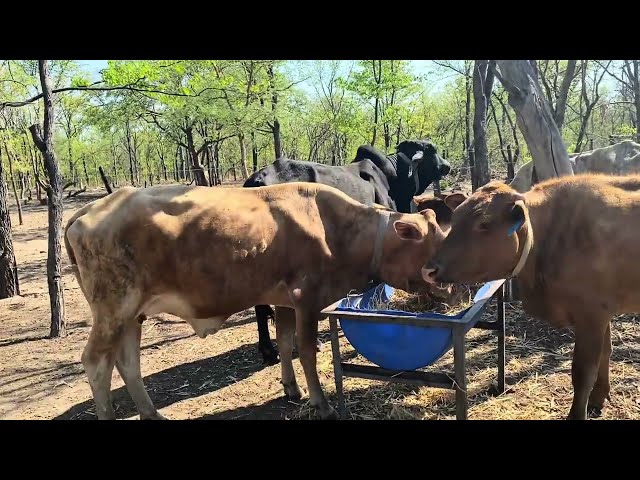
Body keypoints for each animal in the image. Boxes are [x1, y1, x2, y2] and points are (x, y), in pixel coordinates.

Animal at [63, 180, 444, 420]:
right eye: (432, 249)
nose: (449, 284)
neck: (337, 230)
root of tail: (93, 207)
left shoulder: (284, 300)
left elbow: (285, 341)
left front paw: (291, 388)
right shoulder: (307, 298)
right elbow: (306, 351)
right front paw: (321, 403)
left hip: (132, 313)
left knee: (128, 362)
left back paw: (152, 413)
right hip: (114, 308)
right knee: (97, 363)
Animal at [422, 174, 640, 418]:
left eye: (484, 224)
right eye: (456, 217)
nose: (428, 270)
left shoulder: (592, 315)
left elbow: (583, 372)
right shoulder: (603, 312)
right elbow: (605, 353)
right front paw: (597, 398)